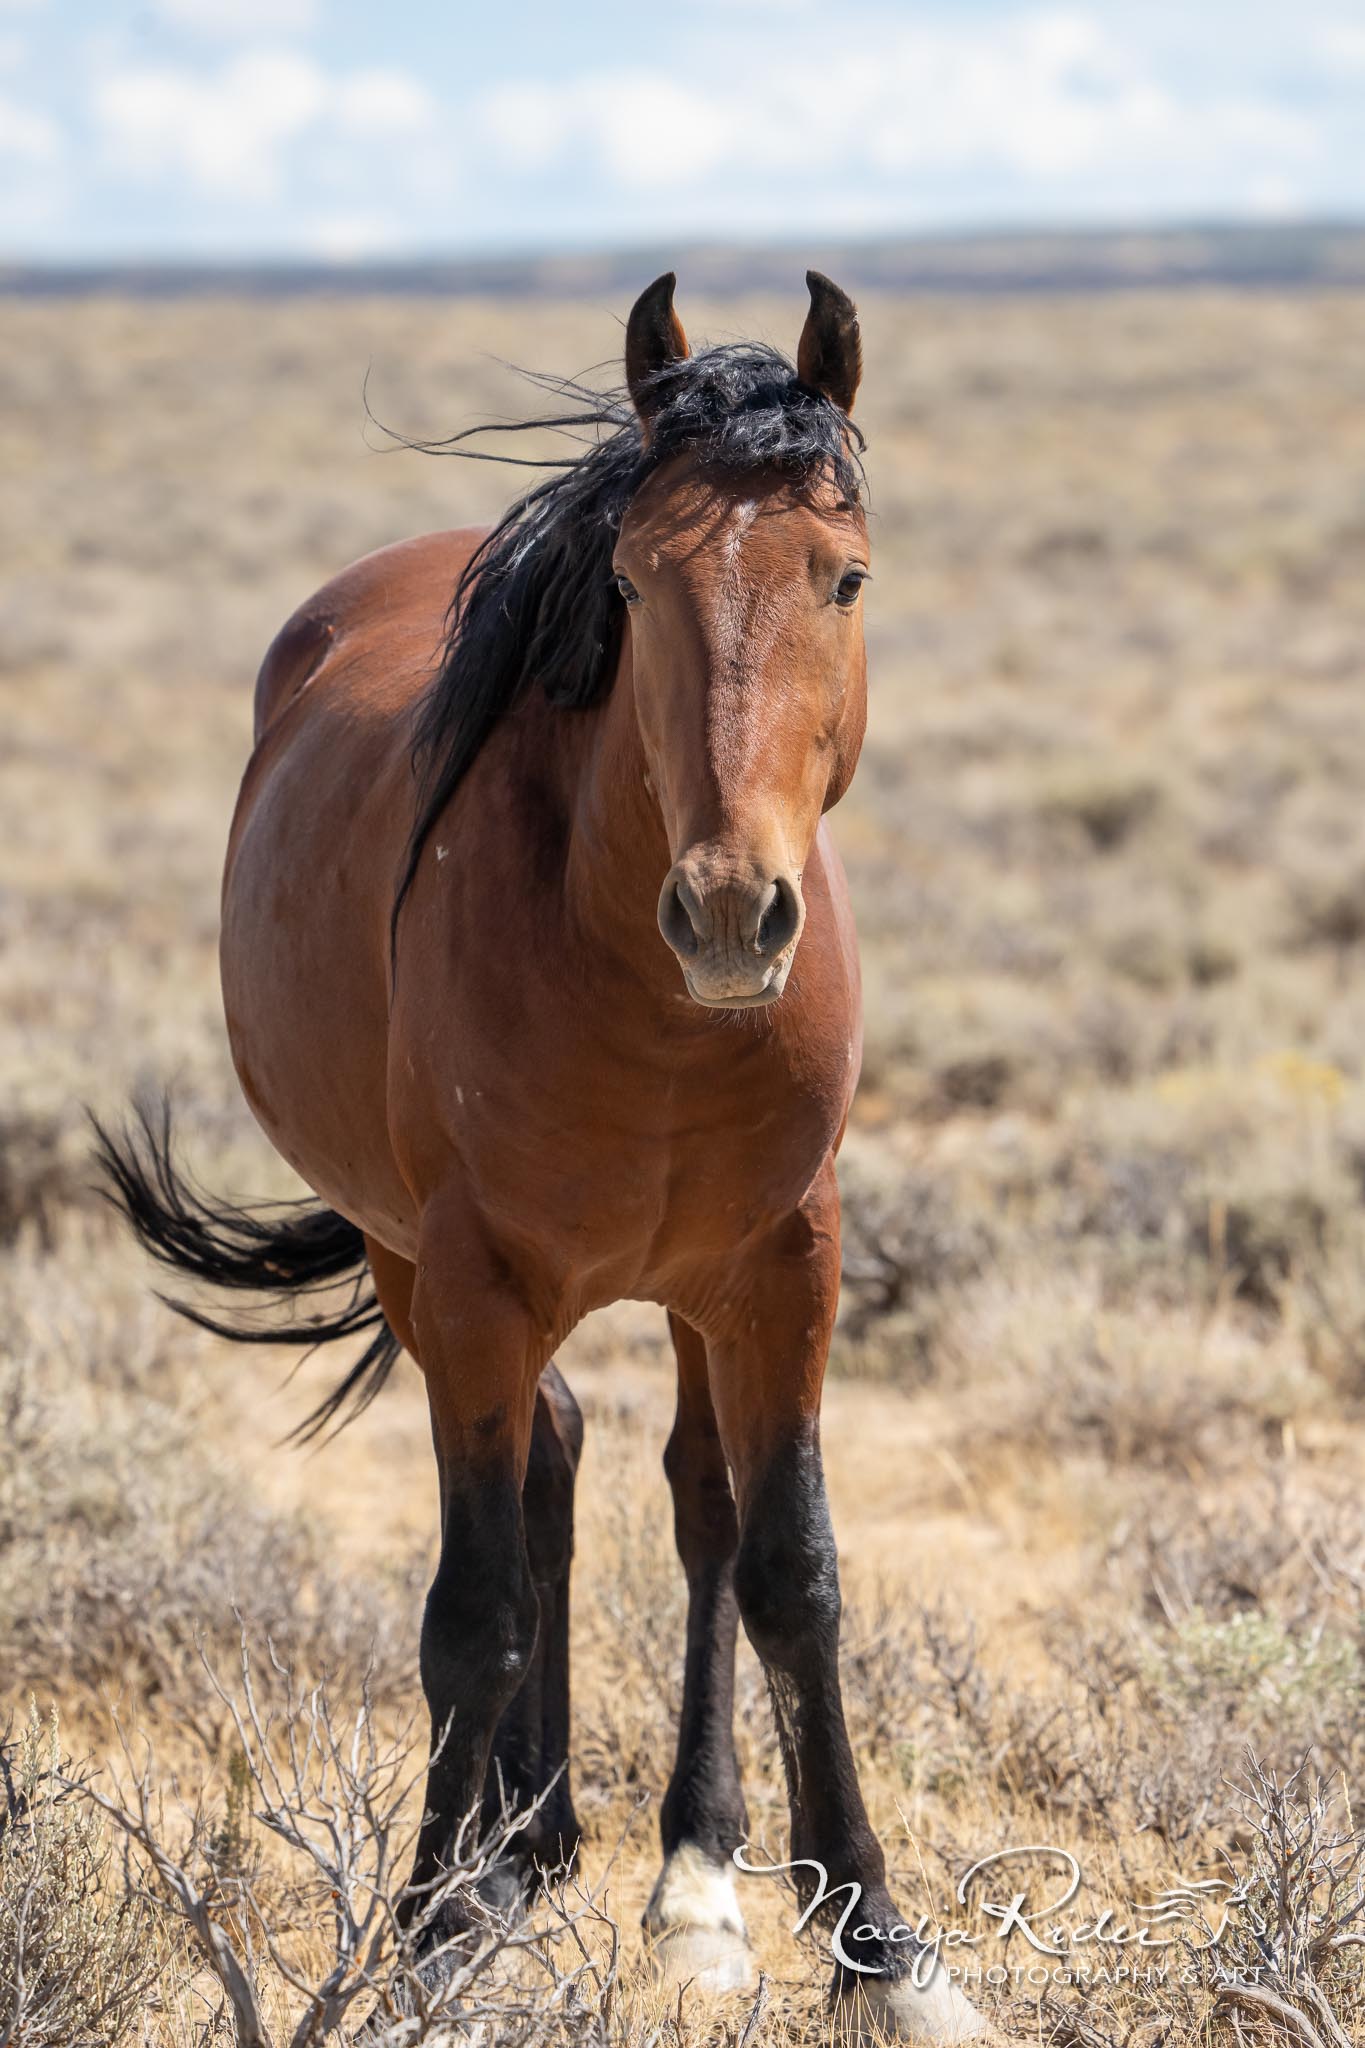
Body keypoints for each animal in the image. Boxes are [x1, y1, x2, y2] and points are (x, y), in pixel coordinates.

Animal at [97, 272, 984, 2044]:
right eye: (635, 586)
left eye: (844, 575)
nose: (729, 914)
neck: (641, 994)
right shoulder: (479, 1283)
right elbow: (477, 1608)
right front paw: (433, 1929)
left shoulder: (787, 1263)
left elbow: (792, 1571)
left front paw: (876, 1942)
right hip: (411, 1263)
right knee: (549, 1469)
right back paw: (517, 1850)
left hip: (692, 1292)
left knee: (688, 1502)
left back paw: (685, 1878)